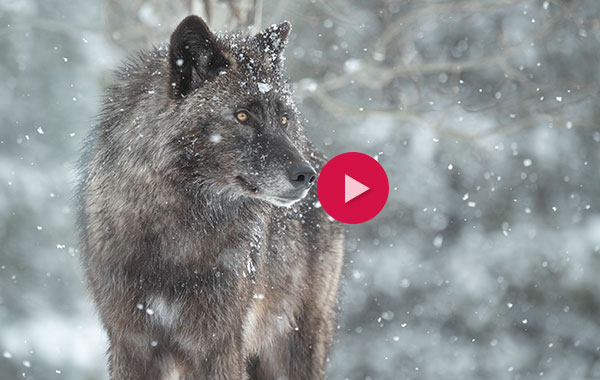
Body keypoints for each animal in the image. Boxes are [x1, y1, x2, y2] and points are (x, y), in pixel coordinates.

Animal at [77, 13, 344, 378]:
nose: (306, 175)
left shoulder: (218, 345)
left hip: (296, 345)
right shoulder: (132, 345)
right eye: (242, 116)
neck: (175, 236)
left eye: (284, 118)